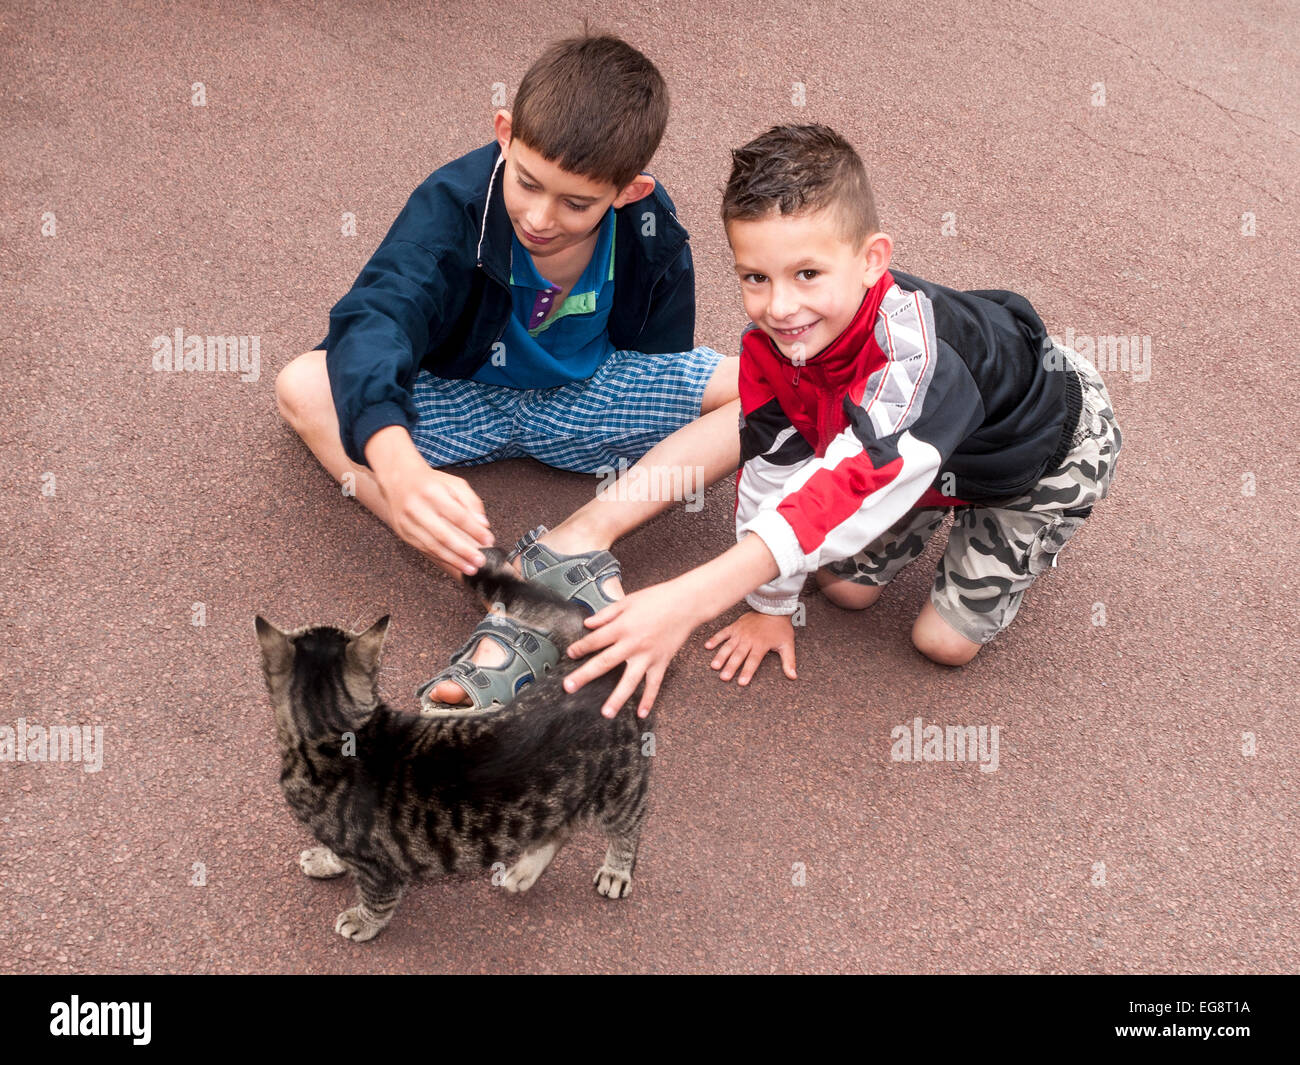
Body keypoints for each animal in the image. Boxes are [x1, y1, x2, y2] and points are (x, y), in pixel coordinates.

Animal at [256, 548, 650, 941]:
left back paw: (616, 870)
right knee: (560, 828)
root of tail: (599, 662)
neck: (336, 732)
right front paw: (325, 860)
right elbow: (337, 853)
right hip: (558, 798)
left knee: (629, 826)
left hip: (620, 787)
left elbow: (377, 899)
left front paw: (361, 922)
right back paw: (526, 870)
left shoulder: (377, 866)